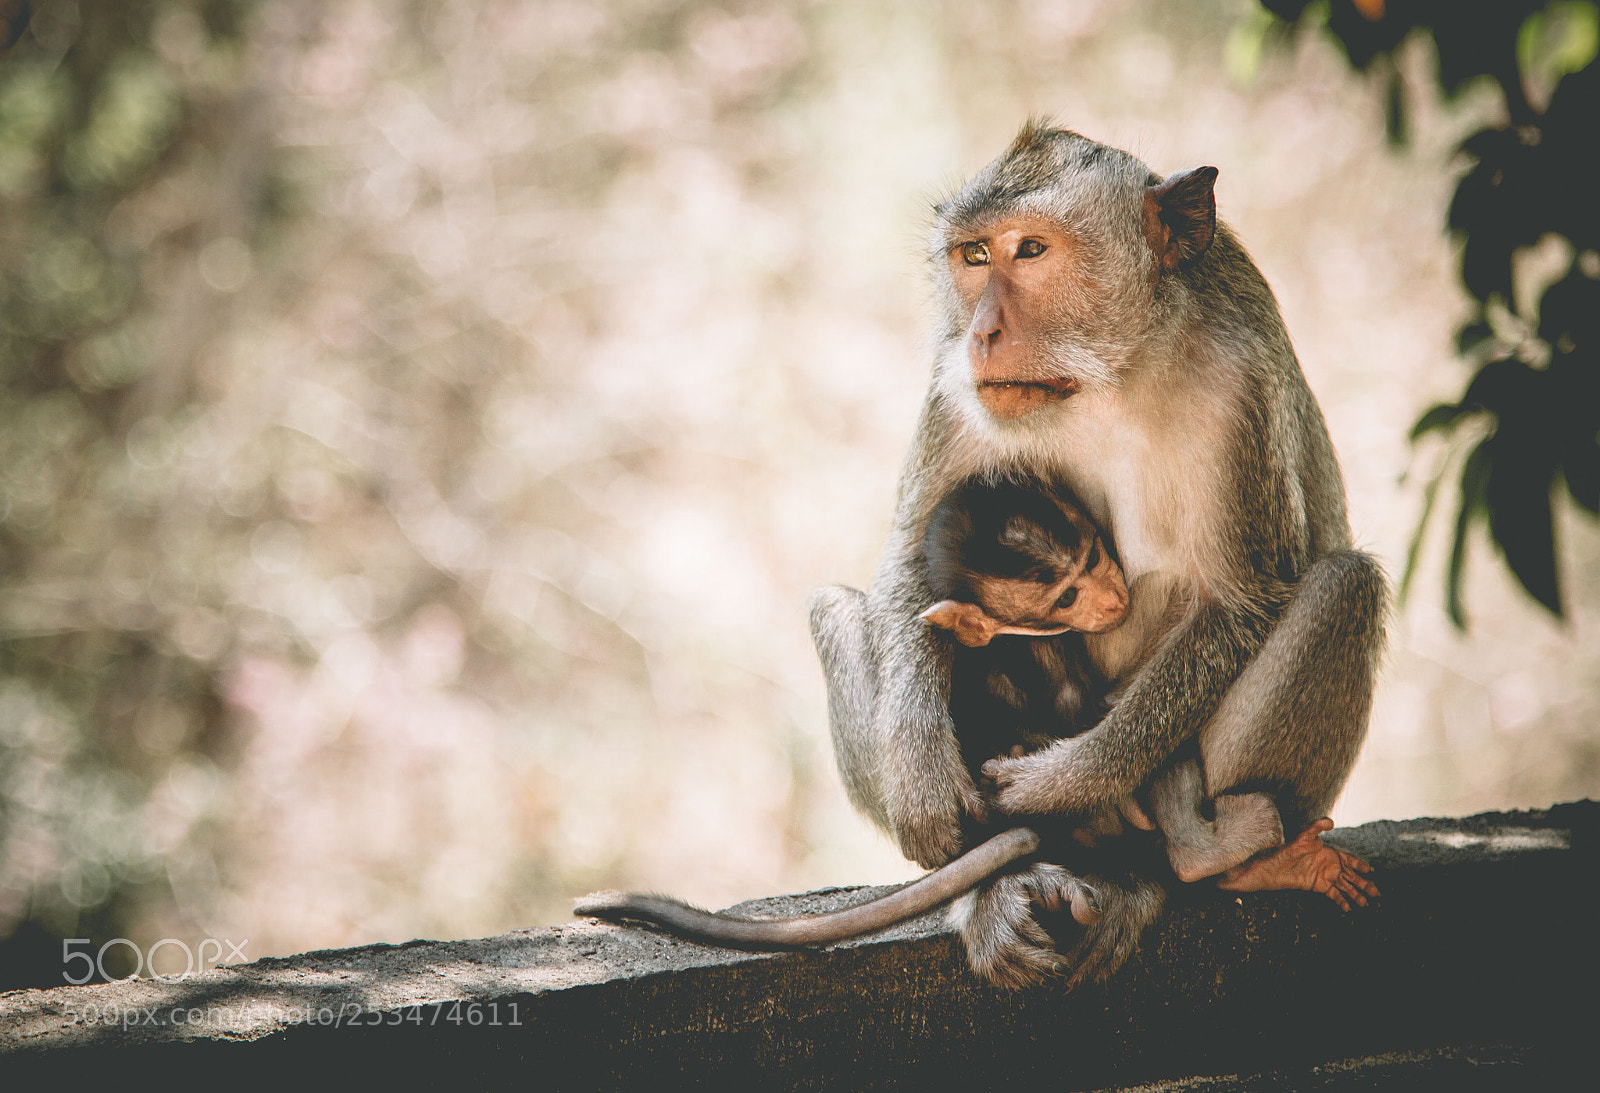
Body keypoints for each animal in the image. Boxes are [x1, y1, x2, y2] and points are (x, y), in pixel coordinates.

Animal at [807, 121, 1388, 988]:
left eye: (1030, 250)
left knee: (1345, 586)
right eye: (974, 255)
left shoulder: (1243, 383)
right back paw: (990, 884)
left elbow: (1243, 597)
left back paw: (1214, 860)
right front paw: (923, 781)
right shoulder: (955, 386)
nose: (982, 332)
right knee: (838, 610)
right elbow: (910, 559)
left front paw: (1061, 782)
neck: (1109, 374)